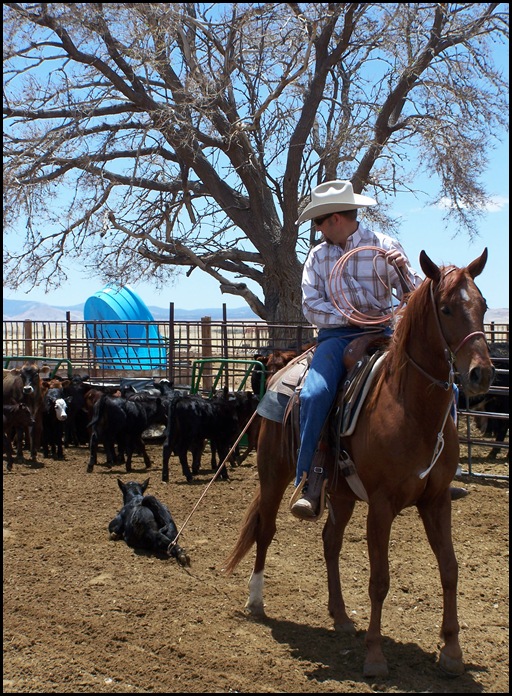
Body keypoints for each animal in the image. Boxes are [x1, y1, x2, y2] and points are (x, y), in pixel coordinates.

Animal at [224, 250, 496, 680]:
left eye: (483, 305)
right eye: (447, 308)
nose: (481, 373)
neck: (409, 409)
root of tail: (281, 370)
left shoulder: (437, 500)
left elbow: (450, 569)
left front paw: (452, 652)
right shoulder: (381, 506)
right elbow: (379, 579)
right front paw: (375, 656)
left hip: (341, 492)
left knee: (330, 541)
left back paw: (339, 616)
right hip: (273, 474)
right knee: (265, 530)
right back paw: (255, 601)